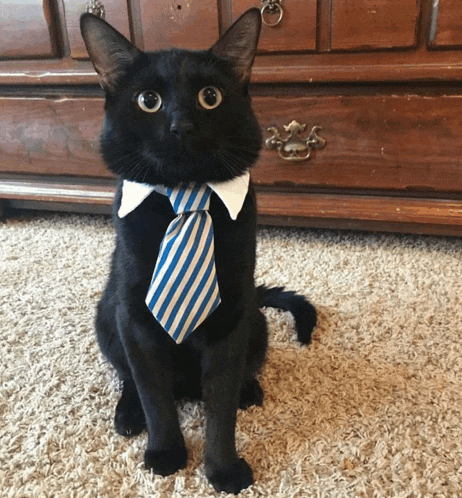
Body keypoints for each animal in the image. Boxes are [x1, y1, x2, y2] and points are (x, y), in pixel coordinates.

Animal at [81, 10, 316, 494]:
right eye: (148, 100)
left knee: (242, 371)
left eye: (210, 97)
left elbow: (219, 406)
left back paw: (249, 391)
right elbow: (154, 395)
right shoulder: (135, 315)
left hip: (254, 318)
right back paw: (128, 413)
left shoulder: (230, 317)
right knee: (129, 377)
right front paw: (166, 454)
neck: (186, 195)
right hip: (108, 315)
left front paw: (223, 470)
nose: (181, 126)